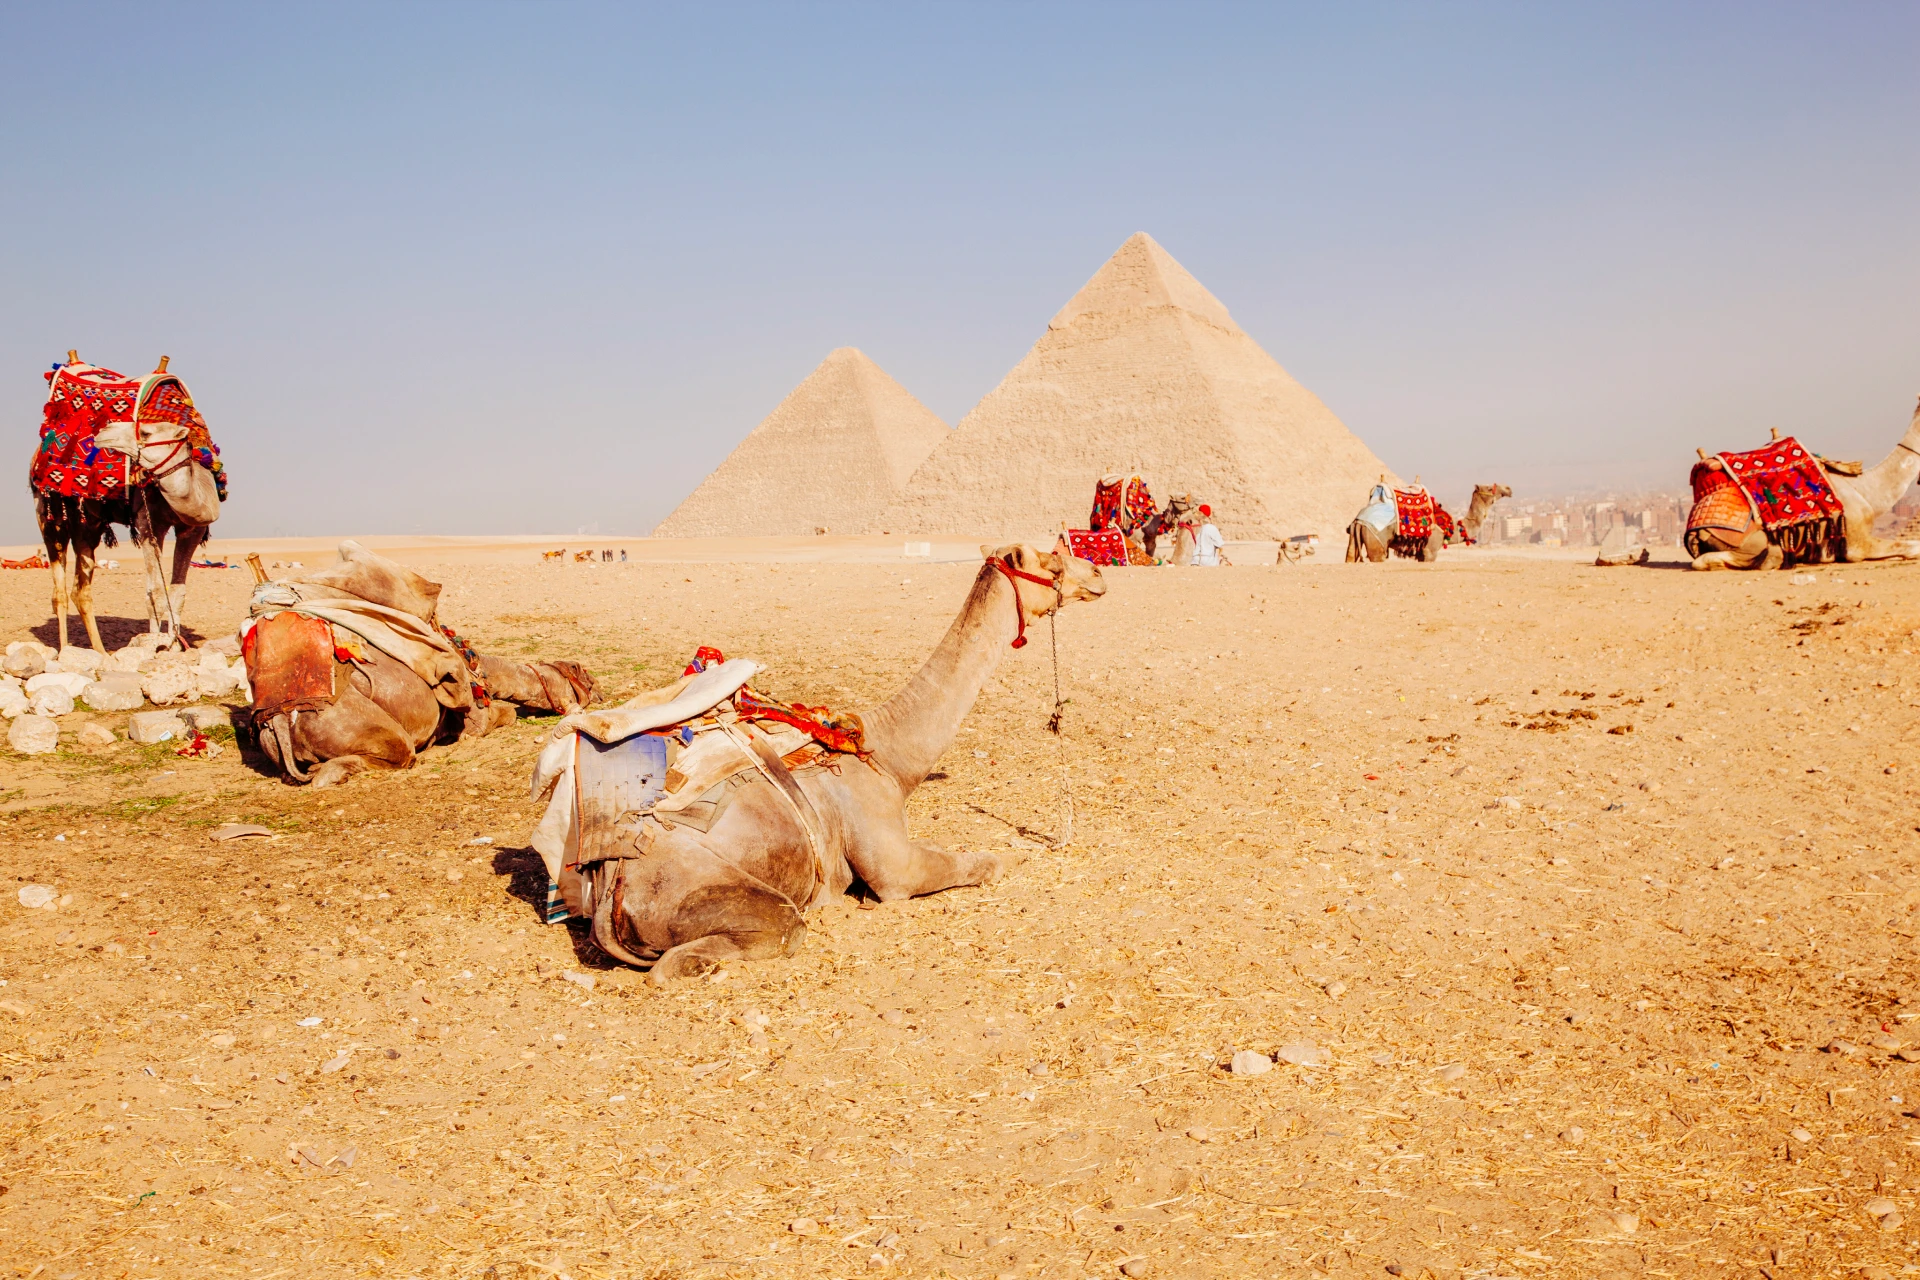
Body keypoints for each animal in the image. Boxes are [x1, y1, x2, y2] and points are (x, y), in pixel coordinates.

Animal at [558, 542, 1107, 983]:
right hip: (702, 895)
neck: (887, 757)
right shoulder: (891, 862)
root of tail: (612, 887)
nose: (1098, 573)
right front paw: (1015, 857)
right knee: (721, 949)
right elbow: (981, 864)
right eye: (1052, 561)